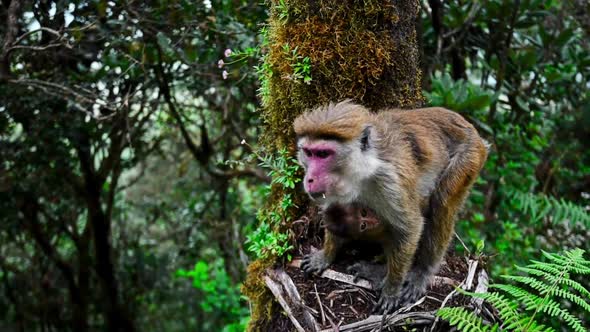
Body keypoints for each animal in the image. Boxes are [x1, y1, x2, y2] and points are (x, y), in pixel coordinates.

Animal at [296, 100, 490, 312]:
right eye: (309, 153)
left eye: (323, 154)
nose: (309, 179)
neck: (361, 170)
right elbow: (333, 216)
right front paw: (325, 255)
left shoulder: (390, 182)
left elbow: (411, 228)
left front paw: (392, 289)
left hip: (469, 157)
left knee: (442, 203)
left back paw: (421, 272)